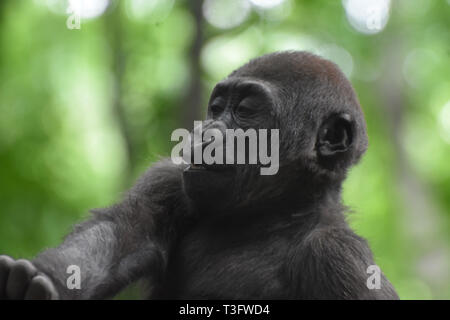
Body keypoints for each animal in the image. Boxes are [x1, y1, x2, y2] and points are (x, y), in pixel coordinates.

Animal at [0, 50, 398, 300]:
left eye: (246, 109)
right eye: (217, 108)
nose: (205, 131)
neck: (274, 213)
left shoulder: (342, 259)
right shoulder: (167, 183)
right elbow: (116, 234)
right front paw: (36, 281)